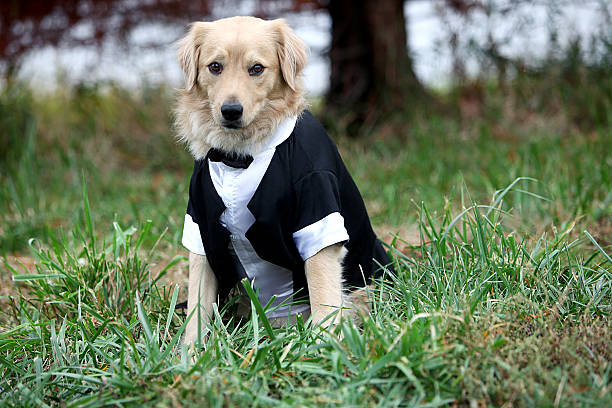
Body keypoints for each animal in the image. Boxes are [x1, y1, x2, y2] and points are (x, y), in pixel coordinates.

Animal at [175, 16, 390, 344]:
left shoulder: (316, 207)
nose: (231, 111)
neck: (241, 156)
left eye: (256, 68)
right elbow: (196, 311)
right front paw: (191, 352)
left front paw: (323, 348)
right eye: (215, 67)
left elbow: (323, 298)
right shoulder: (201, 230)